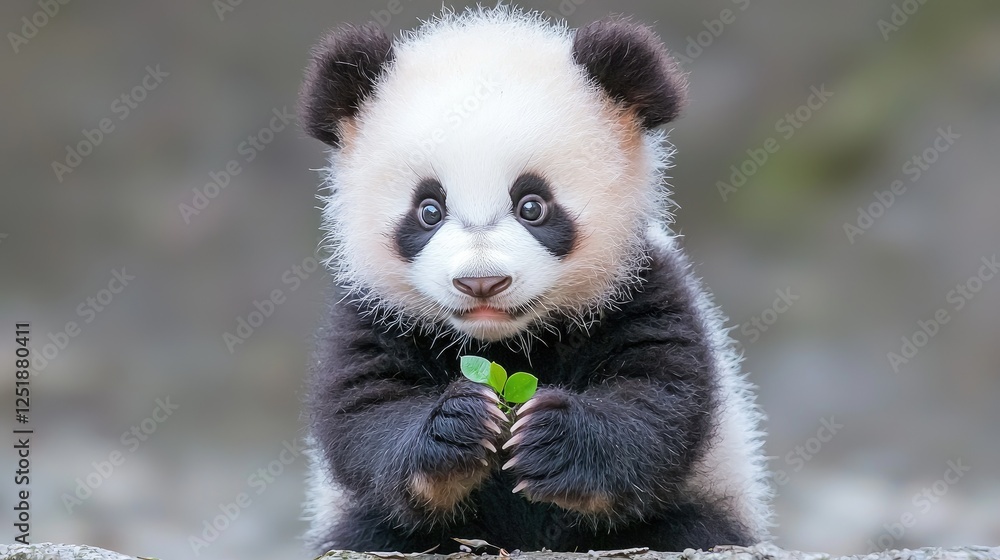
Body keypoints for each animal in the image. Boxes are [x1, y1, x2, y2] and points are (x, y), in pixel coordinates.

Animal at [298, 6, 771, 554]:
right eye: (428, 210)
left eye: (532, 206)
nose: (482, 282)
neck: (505, 340)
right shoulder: (372, 313)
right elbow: (365, 411)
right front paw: (457, 427)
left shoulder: (641, 288)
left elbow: (658, 396)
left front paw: (556, 440)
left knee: (688, 527)